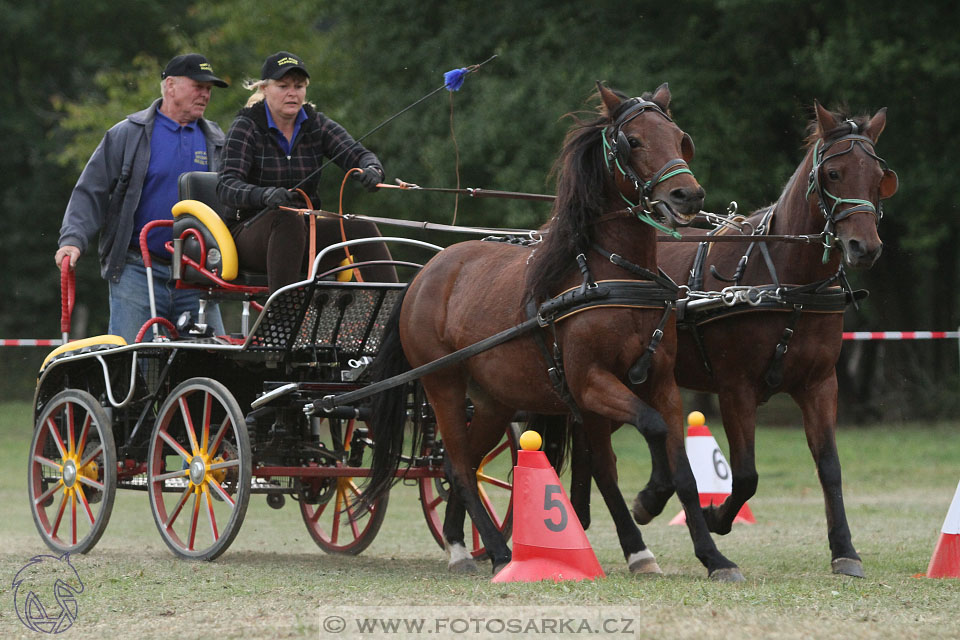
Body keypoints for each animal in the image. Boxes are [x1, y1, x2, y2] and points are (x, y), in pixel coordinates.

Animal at [364, 84, 748, 580]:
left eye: (681, 138)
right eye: (633, 141)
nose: (688, 195)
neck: (614, 273)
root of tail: (428, 271)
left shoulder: (661, 382)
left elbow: (680, 467)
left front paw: (712, 557)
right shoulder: (590, 383)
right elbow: (650, 429)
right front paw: (650, 499)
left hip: (495, 399)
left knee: (457, 462)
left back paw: (459, 546)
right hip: (442, 383)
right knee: (463, 467)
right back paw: (499, 552)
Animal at [572, 101, 896, 580]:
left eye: (878, 176)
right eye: (833, 173)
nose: (864, 247)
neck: (787, 281)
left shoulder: (820, 384)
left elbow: (829, 466)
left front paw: (845, 550)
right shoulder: (735, 388)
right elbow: (745, 475)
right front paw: (714, 518)